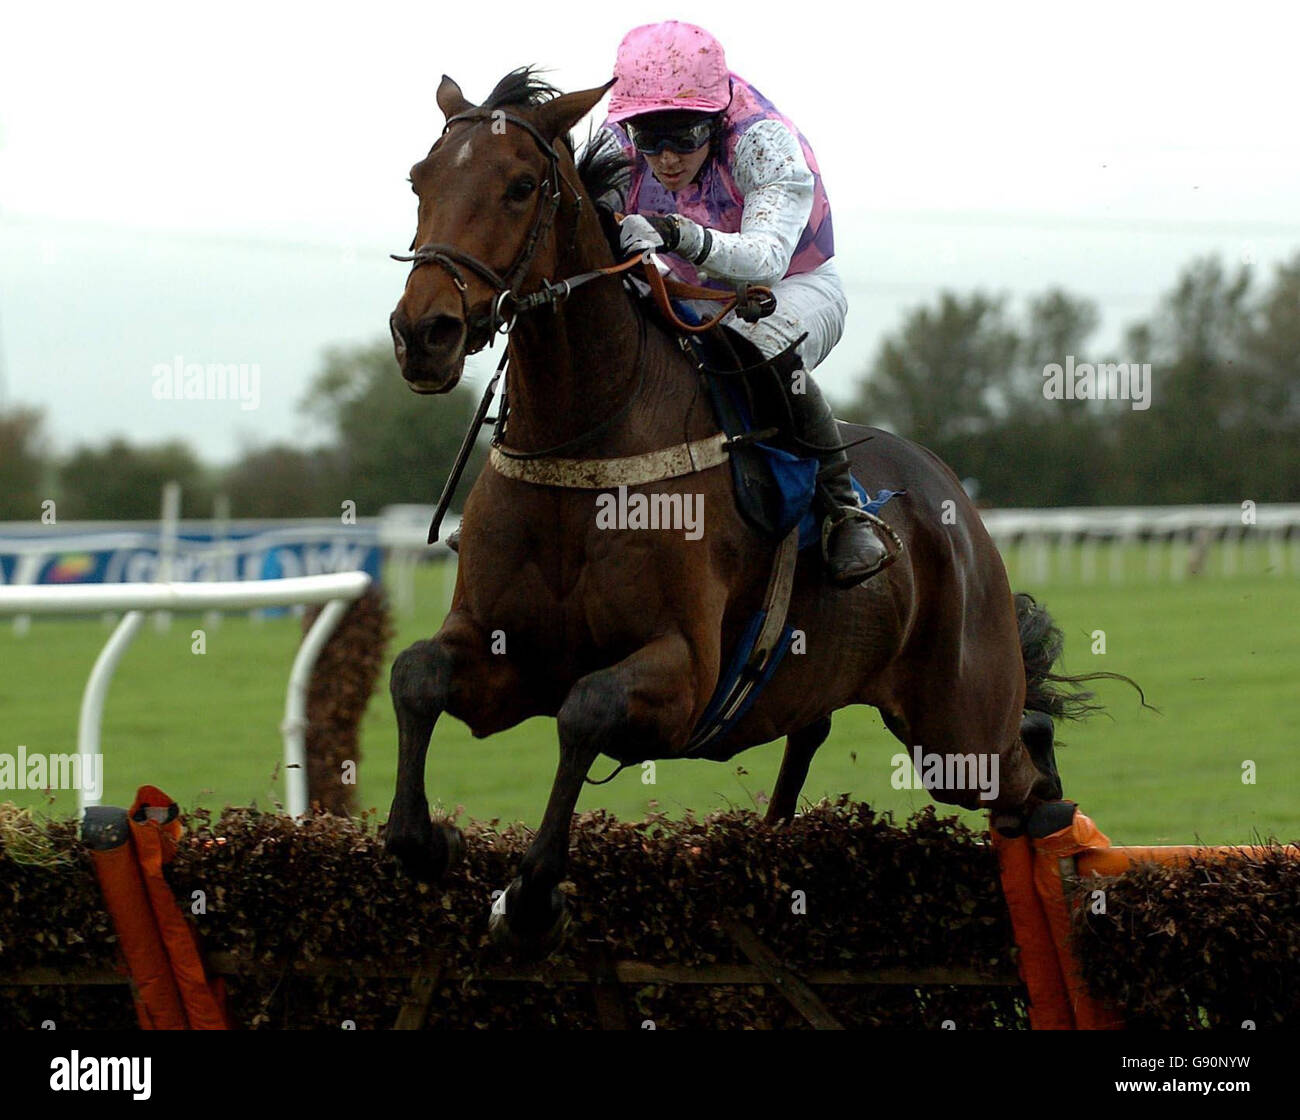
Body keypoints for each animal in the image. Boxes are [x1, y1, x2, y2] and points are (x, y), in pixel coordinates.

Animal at [384, 67, 1118, 945]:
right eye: (419, 180)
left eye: (521, 186)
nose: (423, 332)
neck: (587, 436)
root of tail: (954, 501)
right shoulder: (508, 660)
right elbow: (416, 673)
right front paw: (433, 843)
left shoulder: (687, 674)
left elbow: (586, 710)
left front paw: (529, 896)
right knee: (980, 745)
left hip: (959, 726)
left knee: (1032, 779)